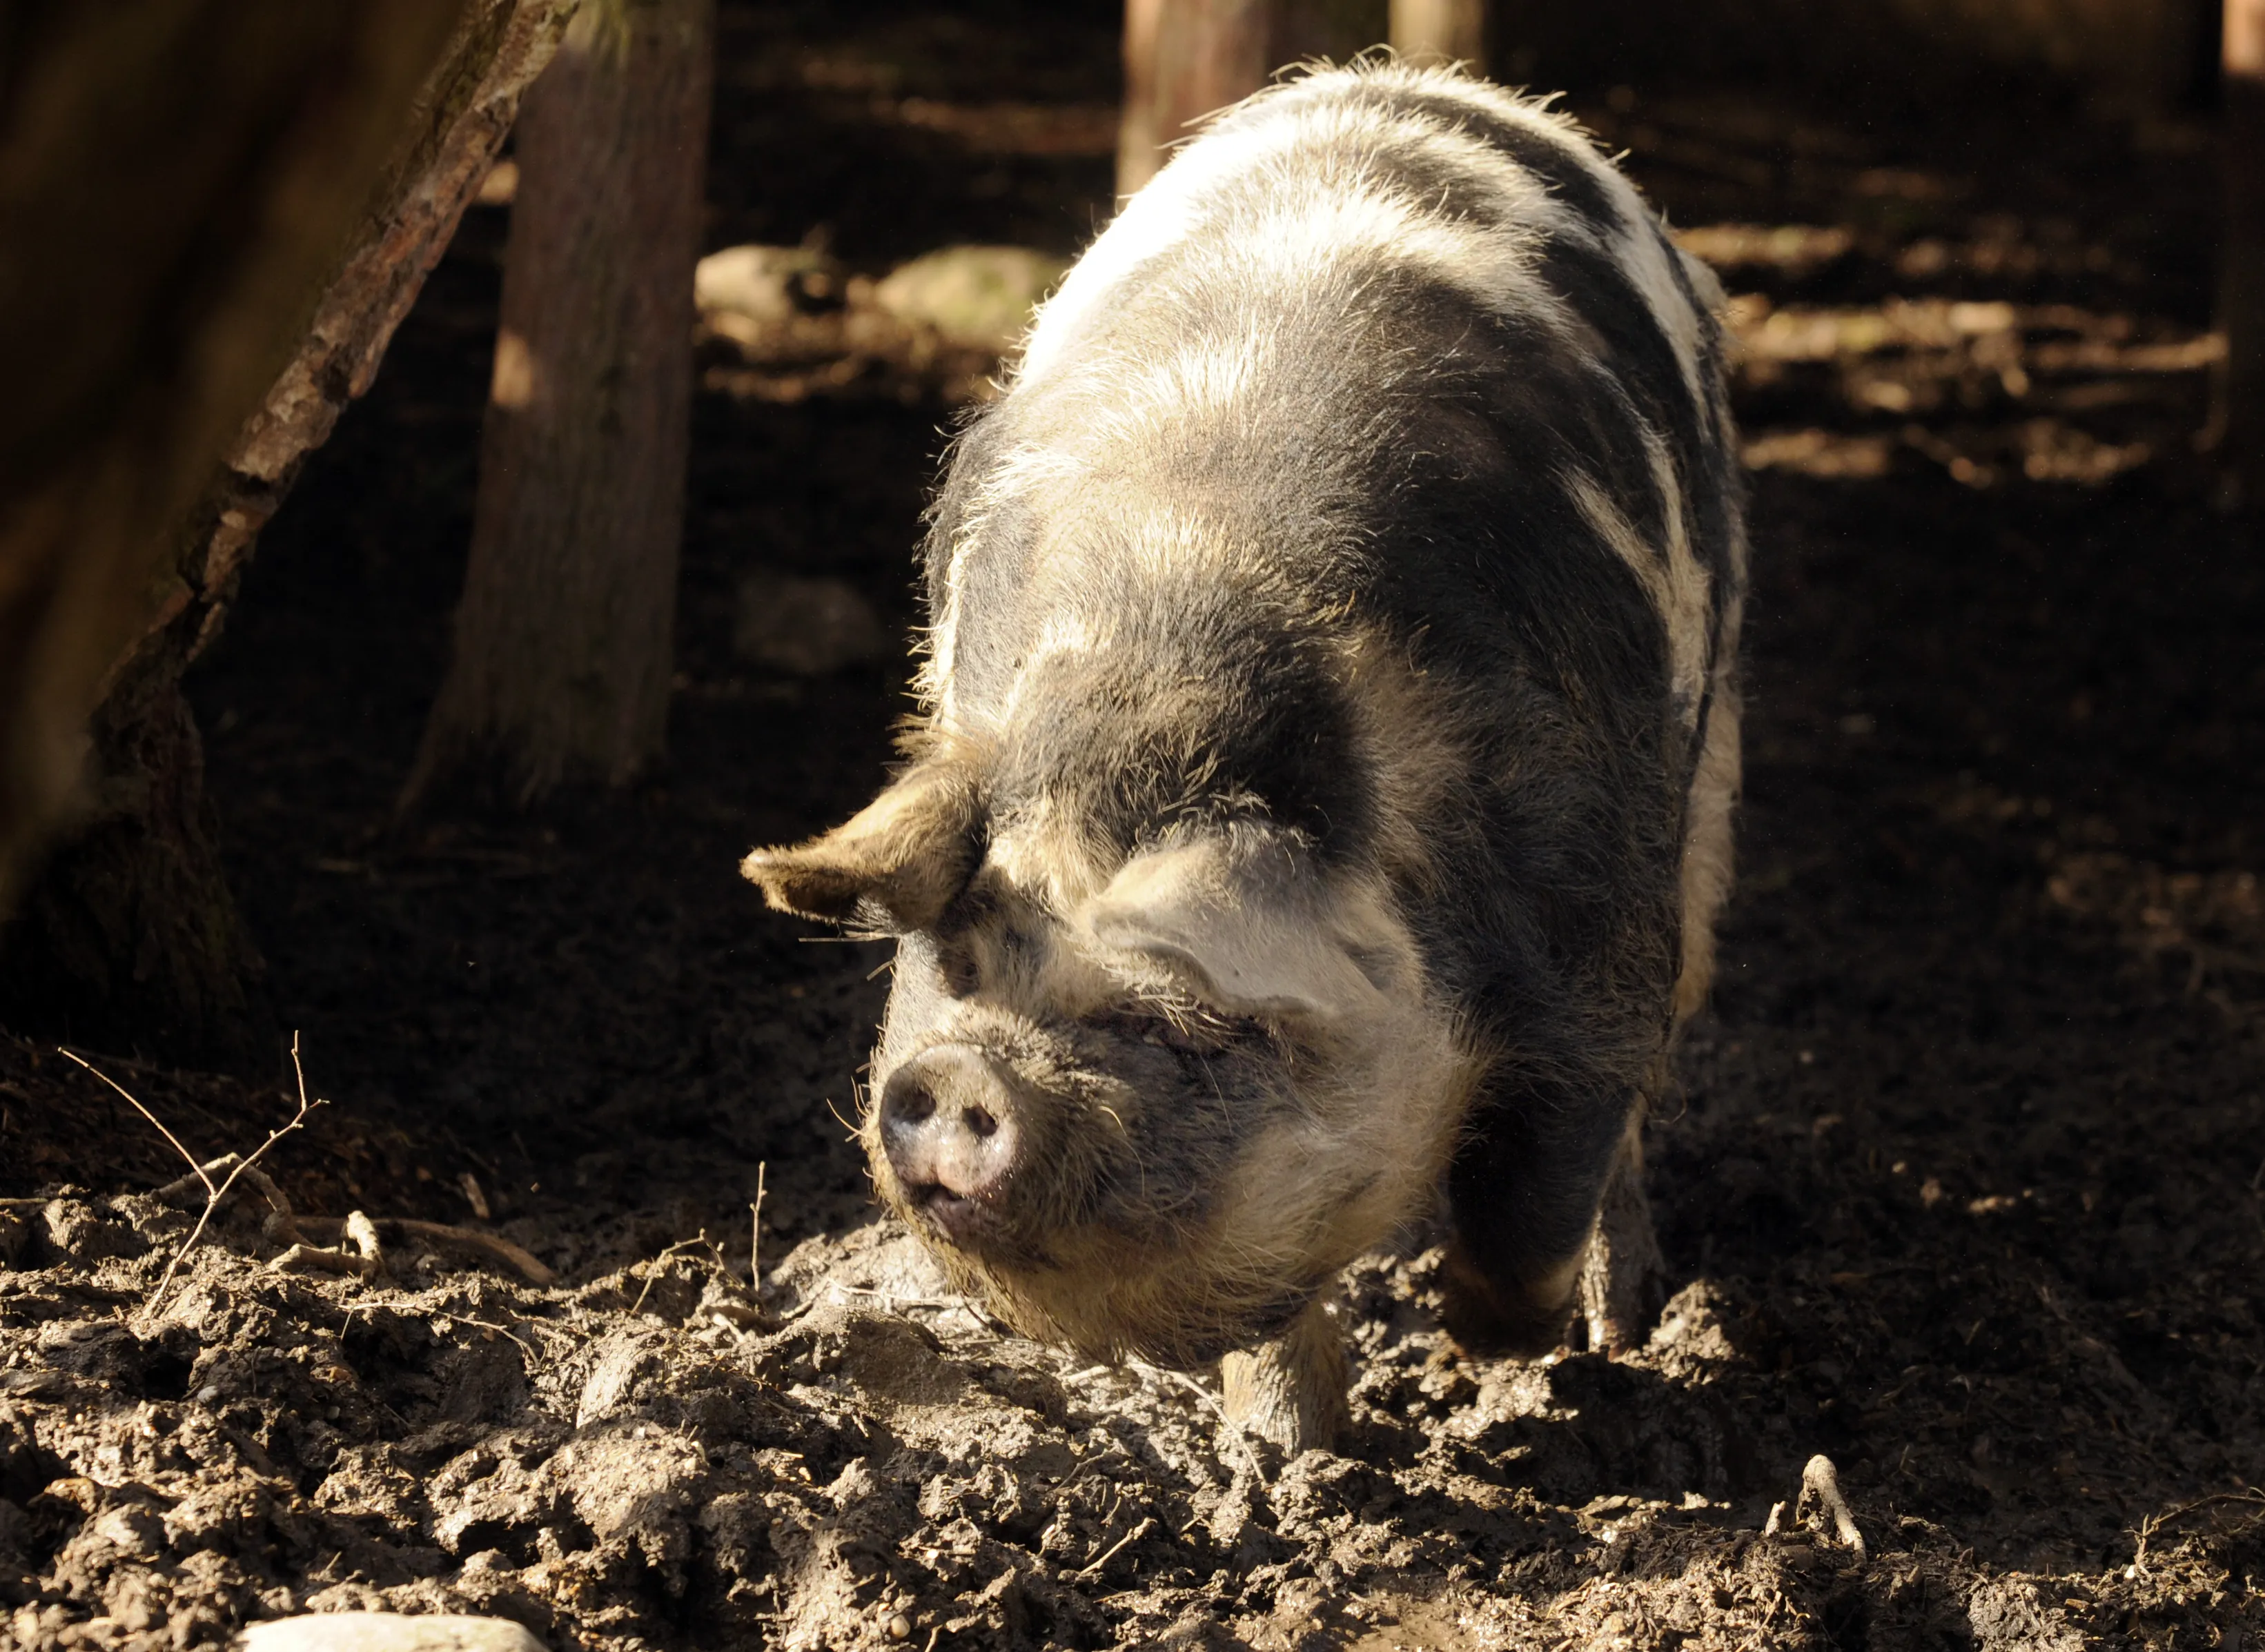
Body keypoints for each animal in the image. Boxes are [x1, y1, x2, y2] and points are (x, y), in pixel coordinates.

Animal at [743, 62, 1746, 1453]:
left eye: (1185, 1019)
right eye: (960, 959)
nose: (959, 1073)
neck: (1160, 669)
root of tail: (1417, 79)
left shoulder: (1597, 915)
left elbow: (1545, 1173)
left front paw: (1493, 1347)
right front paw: (1284, 1454)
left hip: (1712, 752)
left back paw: (1623, 1323)